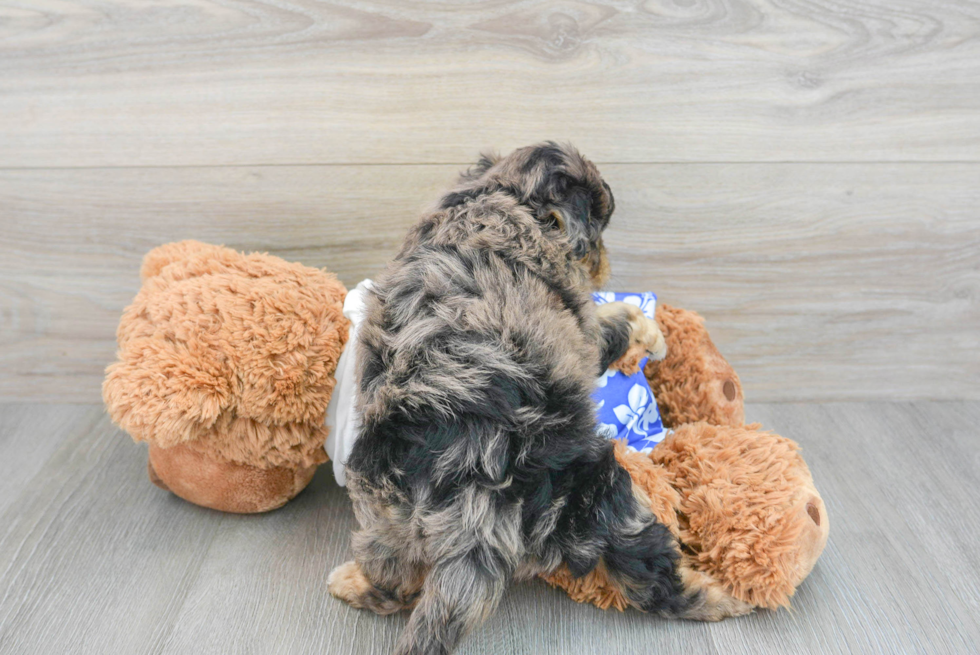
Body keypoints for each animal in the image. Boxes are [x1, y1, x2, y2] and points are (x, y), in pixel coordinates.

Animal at [328, 141, 744, 652]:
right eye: (597, 226)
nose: (604, 262)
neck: (503, 195)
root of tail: (478, 492)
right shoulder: (585, 329)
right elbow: (611, 319)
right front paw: (650, 331)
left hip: (384, 508)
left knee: (391, 575)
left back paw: (352, 582)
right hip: (603, 496)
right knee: (648, 570)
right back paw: (719, 597)